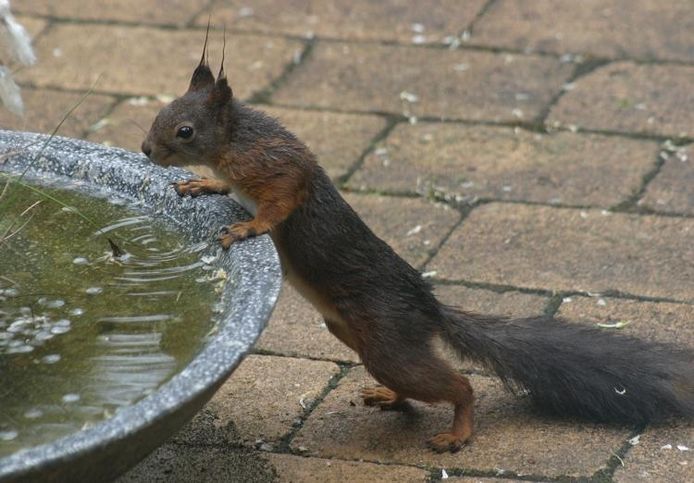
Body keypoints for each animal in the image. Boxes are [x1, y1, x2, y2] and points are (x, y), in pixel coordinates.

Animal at [139, 34, 692, 454]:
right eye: (161, 112)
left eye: (184, 130)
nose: (146, 150)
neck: (236, 141)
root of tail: (428, 307)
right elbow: (226, 188)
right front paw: (202, 185)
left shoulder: (279, 169)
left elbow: (278, 205)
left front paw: (246, 228)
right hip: (358, 336)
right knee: (415, 386)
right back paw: (391, 399)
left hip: (388, 343)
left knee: (459, 385)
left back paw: (457, 432)